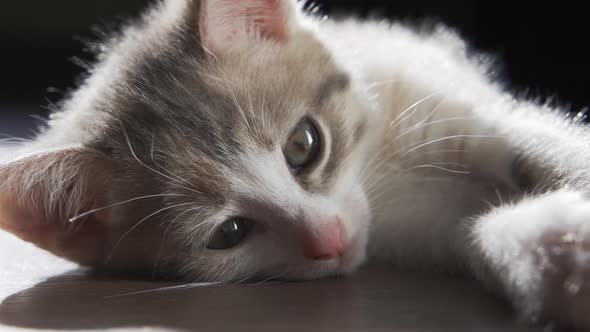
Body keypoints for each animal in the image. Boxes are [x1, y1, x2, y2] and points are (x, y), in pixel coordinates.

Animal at [1, 0, 590, 328]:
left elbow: (546, 146)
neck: (383, 175)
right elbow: (473, 229)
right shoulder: (426, 227)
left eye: (303, 145)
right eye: (229, 233)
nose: (329, 239)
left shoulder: (441, 101)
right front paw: (560, 255)